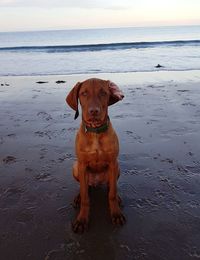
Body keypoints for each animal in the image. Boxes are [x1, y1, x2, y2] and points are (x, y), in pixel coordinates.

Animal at [65, 77, 125, 234]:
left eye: (103, 93)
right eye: (84, 93)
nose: (94, 111)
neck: (95, 131)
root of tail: (96, 183)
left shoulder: (113, 163)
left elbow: (111, 194)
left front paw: (116, 213)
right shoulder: (82, 164)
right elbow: (86, 198)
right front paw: (82, 219)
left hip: (117, 168)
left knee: (111, 186)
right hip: (75, 167)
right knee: (84, 187)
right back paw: (79, 197)